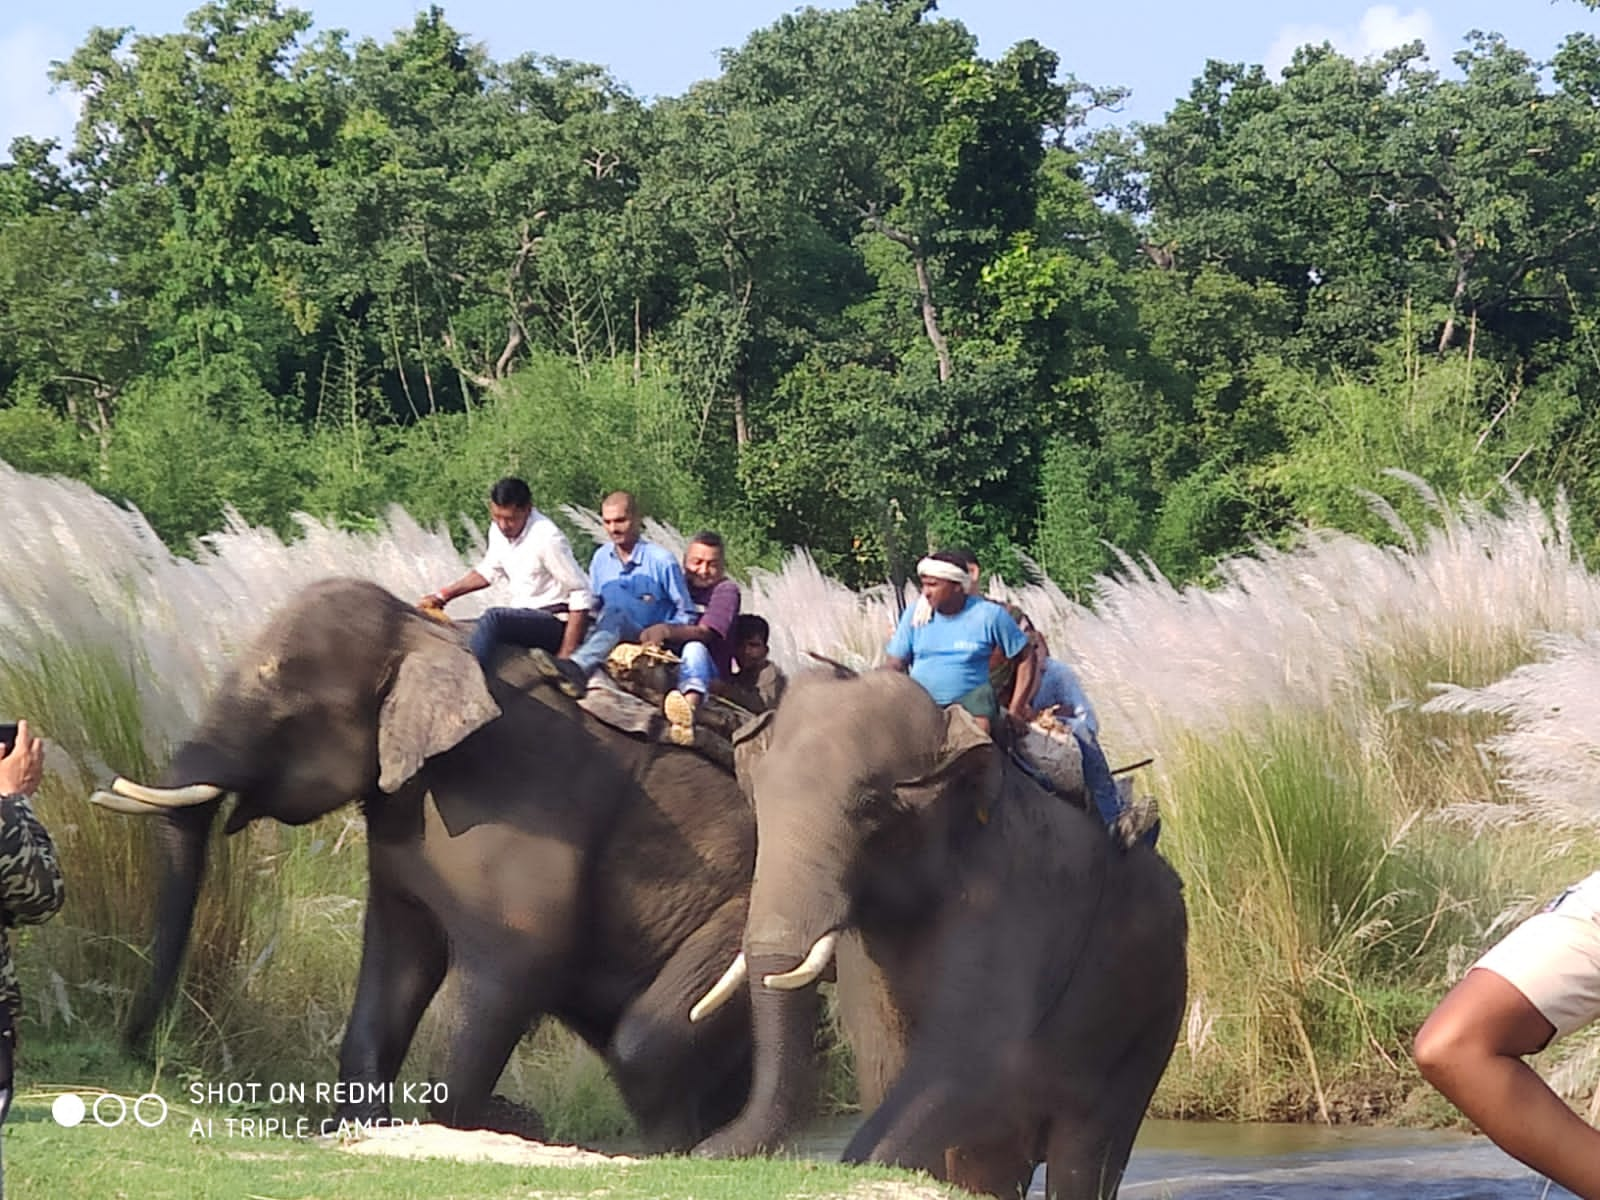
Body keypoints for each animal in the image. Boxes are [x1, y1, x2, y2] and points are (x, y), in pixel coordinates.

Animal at [93, 579, 755, 1152]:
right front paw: (361, 1127)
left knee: (650, 1042)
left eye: (289, 708)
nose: (138, 1049)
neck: (425, 636)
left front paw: (478, 1124)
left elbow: (515, 963)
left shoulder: (526, 800)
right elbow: (395, 954)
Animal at [691, 672, 1190, 1196]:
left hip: (1149, 1016)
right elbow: (885, 1060)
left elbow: (968, 1051)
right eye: (756, 798)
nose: (700, 1151)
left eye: (870, 806)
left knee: (1085, 1153)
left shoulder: (1017, 893)